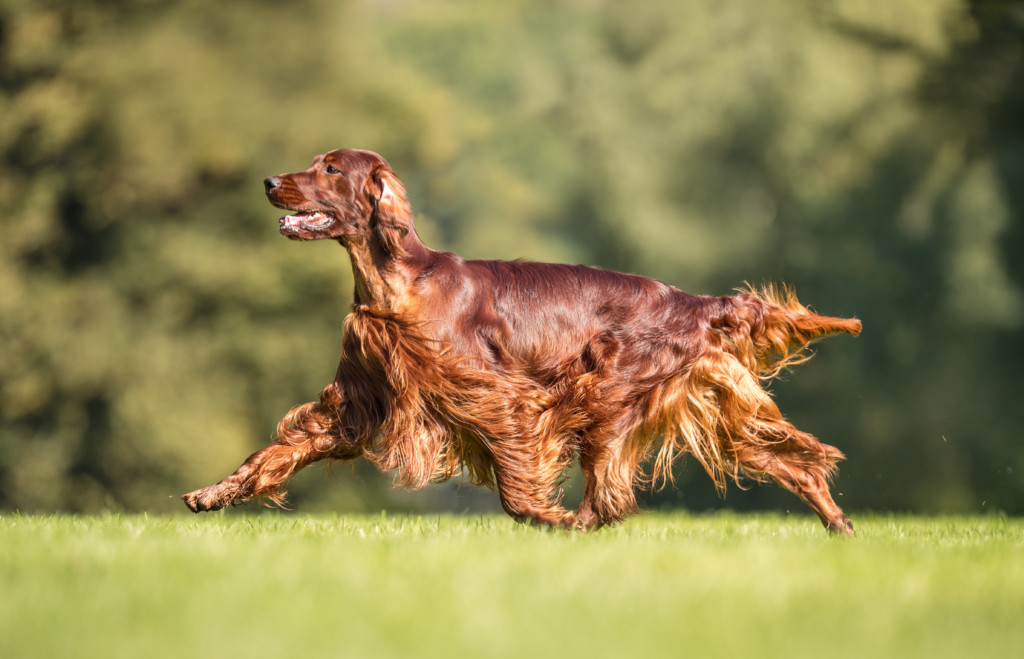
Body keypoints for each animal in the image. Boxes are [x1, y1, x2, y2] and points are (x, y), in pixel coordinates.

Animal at [180, 150, 860, 536]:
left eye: (328, 169)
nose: (269, 181)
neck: (396, 286)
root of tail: (689, 301)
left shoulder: (500, 398)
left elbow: (514, 481)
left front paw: (543, 516)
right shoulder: (356, 403)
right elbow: (276, 451)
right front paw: (215, 493)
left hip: (606, 396)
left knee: (609, 493)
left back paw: (577, 523)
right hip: (708, 406)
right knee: (790, 462)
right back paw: (839, 524)